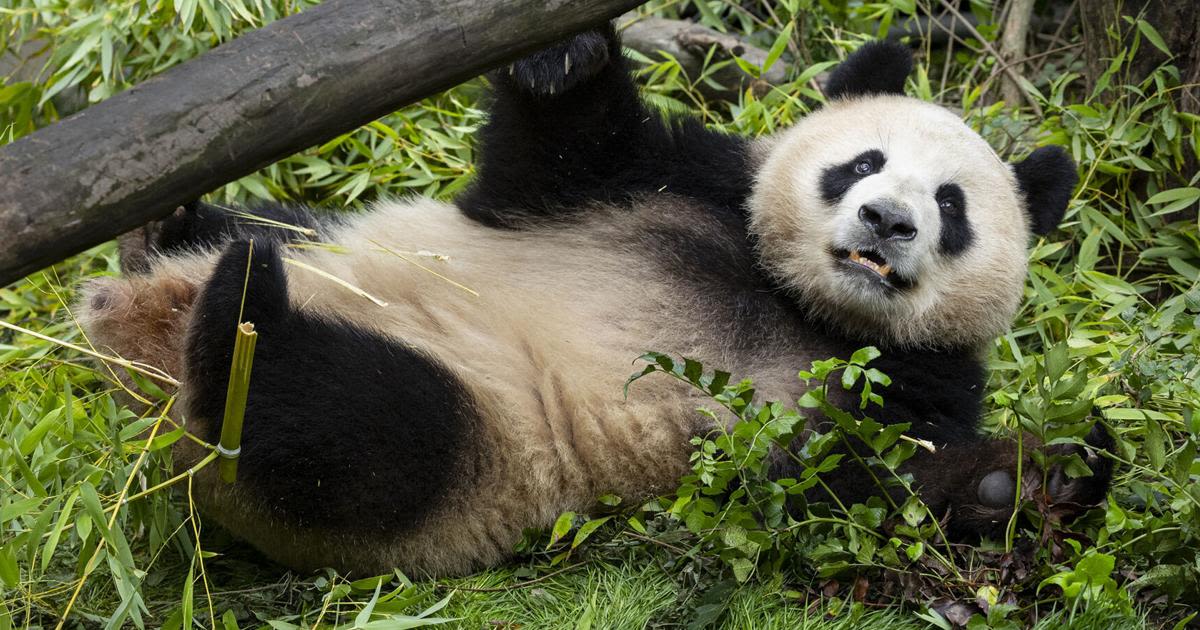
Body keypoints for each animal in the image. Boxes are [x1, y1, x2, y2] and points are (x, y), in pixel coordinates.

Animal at [75, 27, 1108, 573]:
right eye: (862, 163)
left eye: (952, 206)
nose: (888, 220)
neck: (797, 300)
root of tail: (140, 344)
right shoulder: (676, 183)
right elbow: (553, 158)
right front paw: (566, 57)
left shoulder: (906, 380)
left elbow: (846, 487)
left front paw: (1025, 480)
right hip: (326, 242)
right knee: (268, 242)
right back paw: (170, 232)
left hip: (473, 453)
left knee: (352, 428)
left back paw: (238, 327)